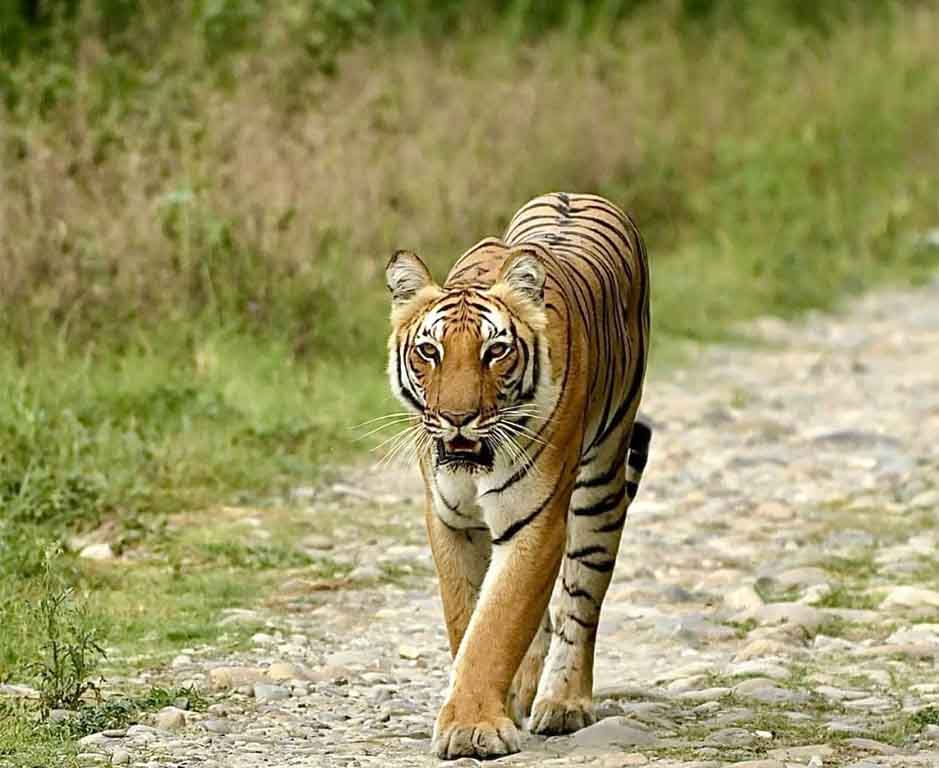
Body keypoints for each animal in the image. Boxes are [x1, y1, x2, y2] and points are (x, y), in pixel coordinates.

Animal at [384, 192, 652, 760]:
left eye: (496, 351)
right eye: (429, 351)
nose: (458, 418)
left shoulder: (536, 521)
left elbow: (497, 623)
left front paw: (471, 727)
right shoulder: (449, 519)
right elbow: (467, 617)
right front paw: (491, 709)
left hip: (600, 491)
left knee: (580, 606)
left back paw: (564, 703)